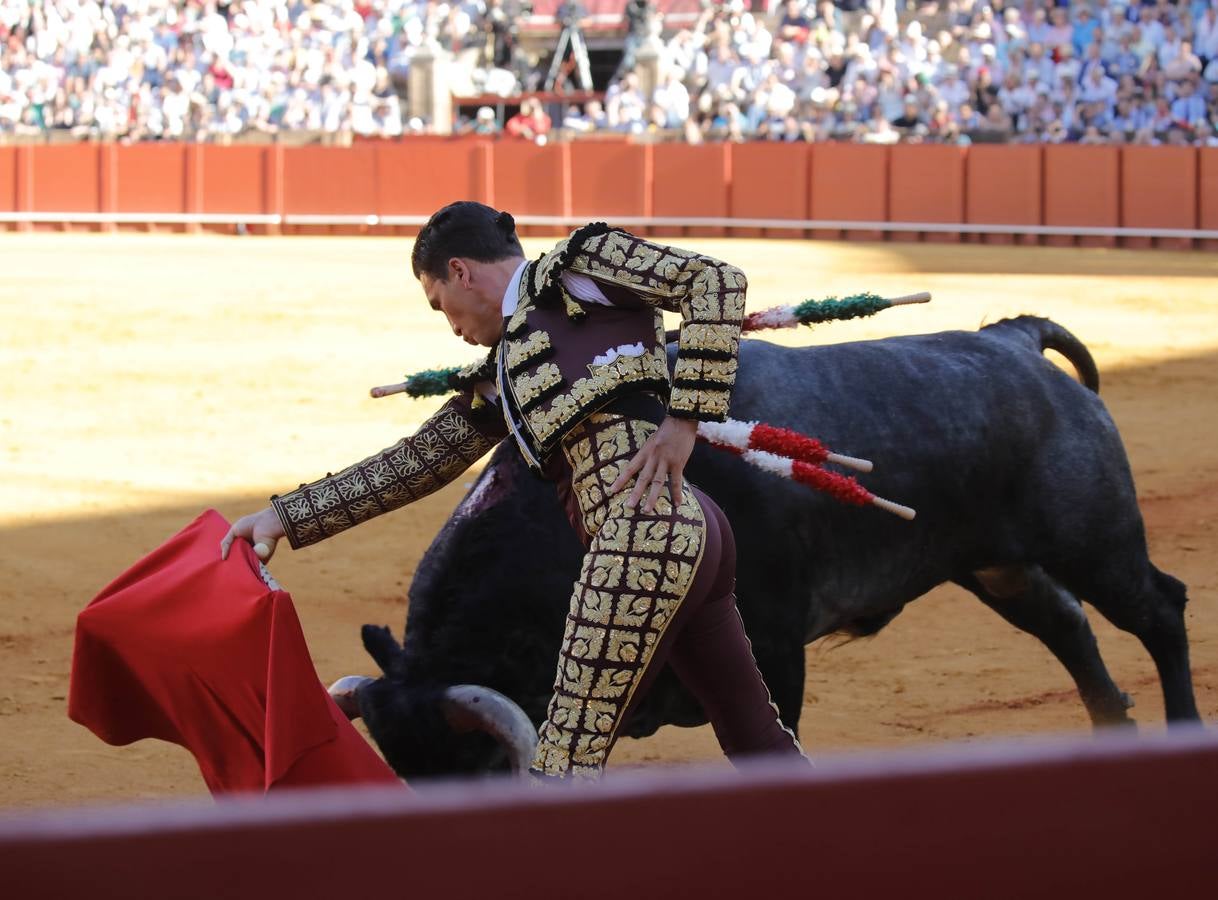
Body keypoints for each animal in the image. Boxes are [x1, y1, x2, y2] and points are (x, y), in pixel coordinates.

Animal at [331, 319, 1198, 779]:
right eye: (403, 770)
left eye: (479, 768)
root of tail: (1013, 338)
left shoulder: (774, 649)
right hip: (996, 563)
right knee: (1066, 623)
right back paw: (1112, 730)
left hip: (1094, 540)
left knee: (1159, 609)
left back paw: (1182, 729)